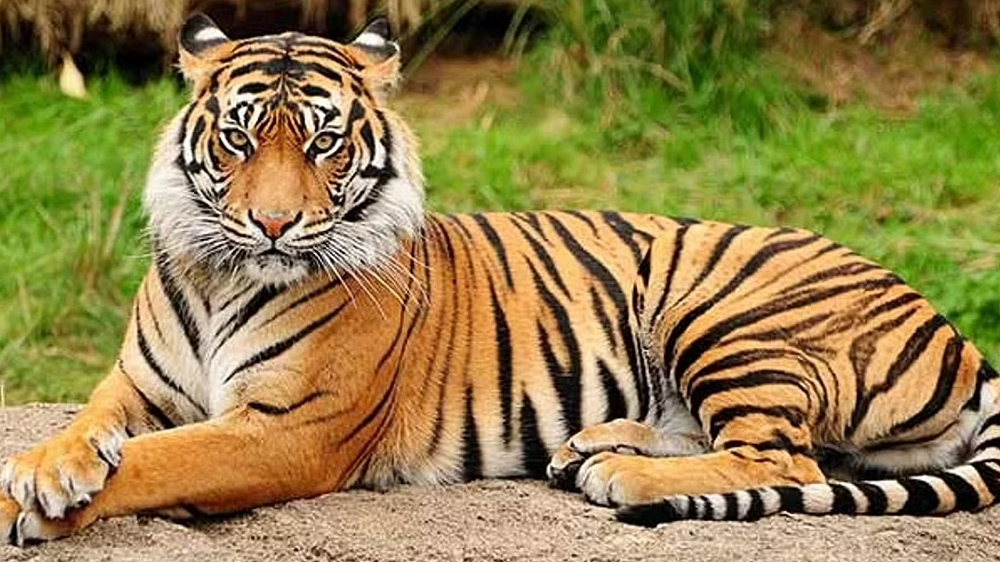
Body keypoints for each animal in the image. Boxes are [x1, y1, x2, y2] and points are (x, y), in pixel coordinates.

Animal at [2, 13, 1000, 545]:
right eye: (241, 138)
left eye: (324, 144)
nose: (275, 224)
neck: (221, 276)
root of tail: (954, 331)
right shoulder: (137, 385)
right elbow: (90, 427)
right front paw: (48, 468)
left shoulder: (289, 429)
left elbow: (161, 460)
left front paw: (38, 508)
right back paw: (592, 446)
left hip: (723, 312)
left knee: (783, 455)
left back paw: (619, 477)